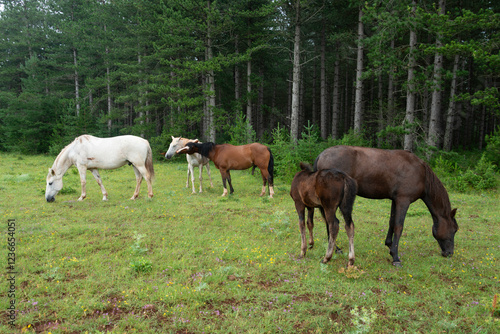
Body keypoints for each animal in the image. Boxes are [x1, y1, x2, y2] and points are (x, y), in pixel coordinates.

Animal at [314, 145, 458, 266]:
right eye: (454, 229)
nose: (449, 253)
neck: (421, 174)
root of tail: (321, 155)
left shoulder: (395, 200)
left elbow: (392, 223)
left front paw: (389, 245)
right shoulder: (403, 200)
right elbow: (399, 227)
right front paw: (395, 257)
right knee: (331, 222)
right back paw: (334, 249)